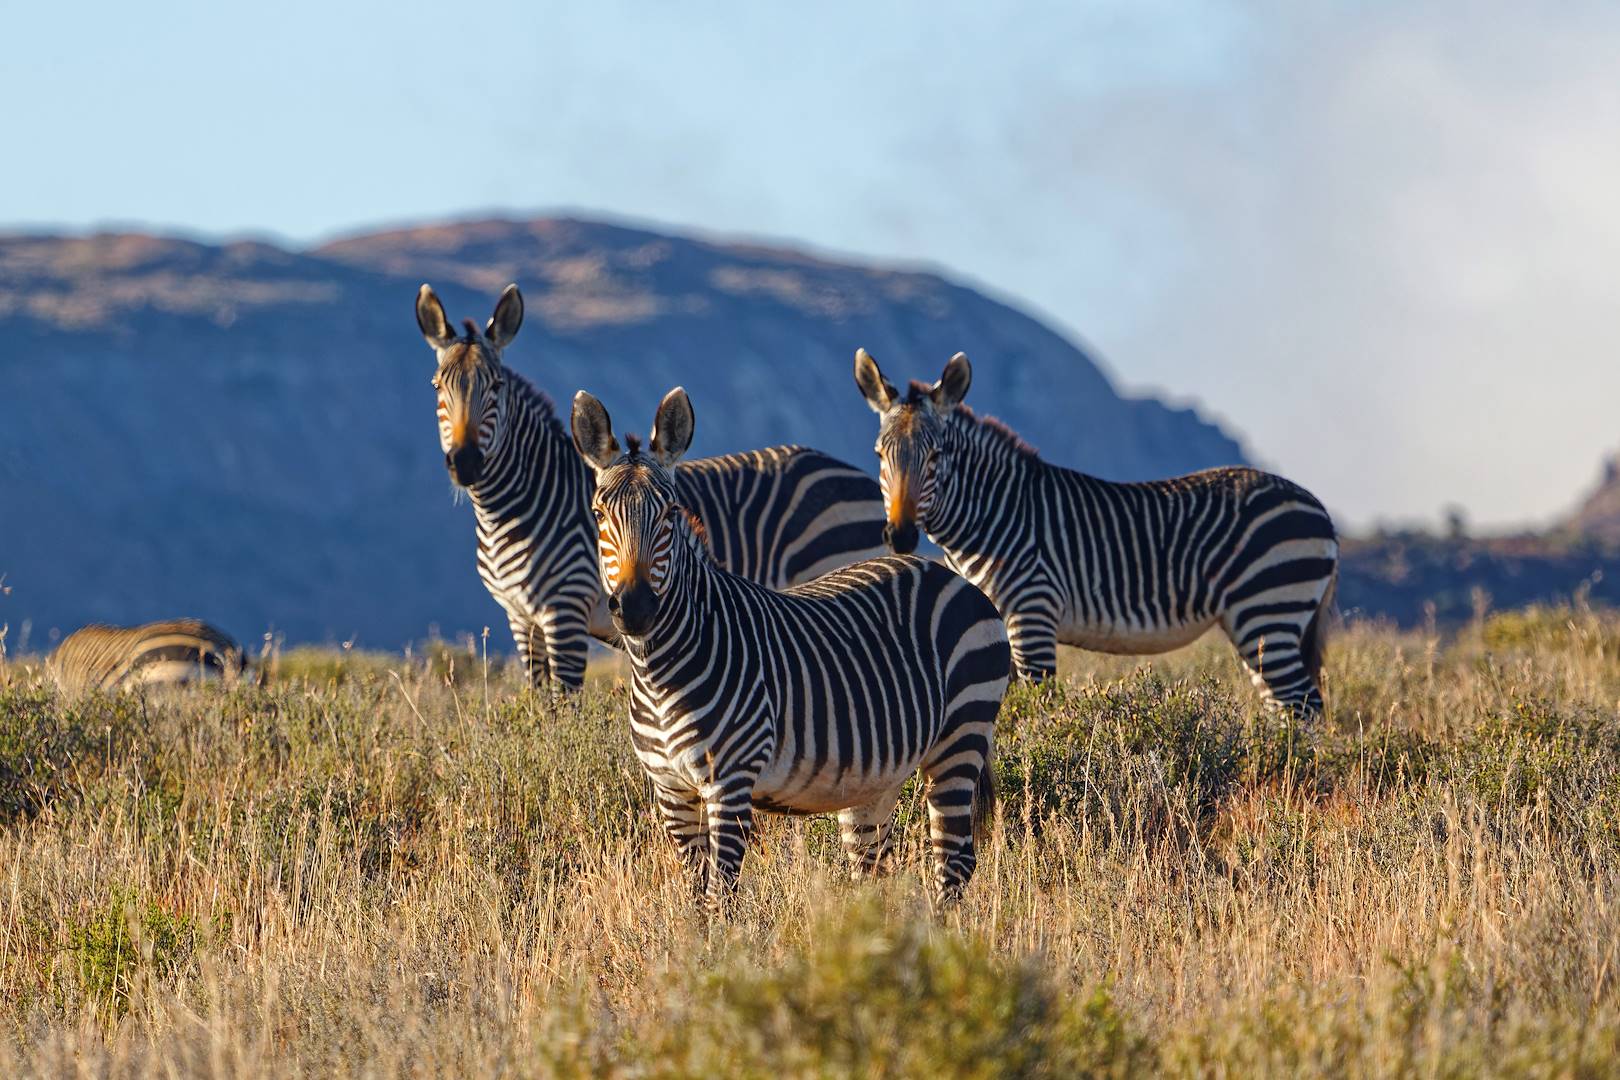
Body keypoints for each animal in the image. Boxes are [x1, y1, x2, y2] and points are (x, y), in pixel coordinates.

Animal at [415, 283, 885, 690]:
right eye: (437, 387)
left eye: (495, 387)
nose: (465, 462)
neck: (511, 509)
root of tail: (859, 475)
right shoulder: (520, 618)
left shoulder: (565, 612)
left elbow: (561, 709)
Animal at [571, 386, 1011, 910]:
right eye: (598, 514)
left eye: (670, 513)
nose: (636, 608)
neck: (659, 670)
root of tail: (954, 578)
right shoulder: (671, 791)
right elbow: (697, 896)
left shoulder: (730, 783)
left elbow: (720, 898)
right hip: (876, 779)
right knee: (877, 870)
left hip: (960, 738)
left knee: (954, 862)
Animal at [853, 349, 1339, 719]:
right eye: (879, 454)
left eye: (936, 455)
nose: (901, 536)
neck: (992, 515)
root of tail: (1320, 509)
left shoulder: (1033, 612)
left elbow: (1033, 713)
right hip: (1260, 623)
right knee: (1286, 707)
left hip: (1268, 608)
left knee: (1304, 707)